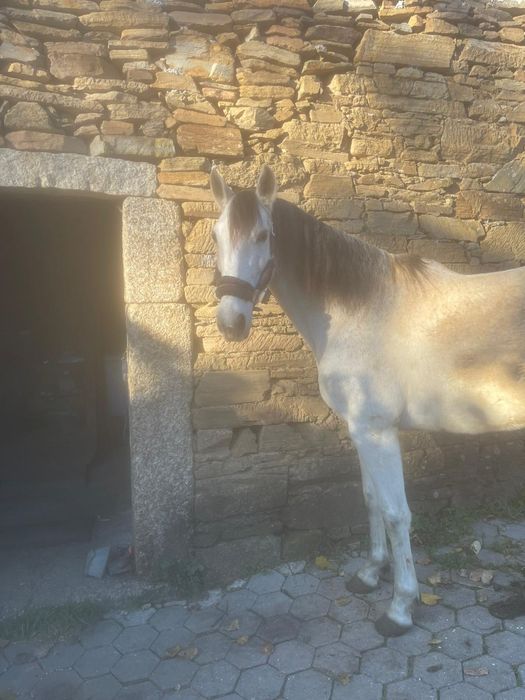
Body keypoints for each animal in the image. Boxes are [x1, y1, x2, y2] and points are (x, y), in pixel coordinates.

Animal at [208, 164, 525, 637]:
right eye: (216, 236)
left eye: (263, 236)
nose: (231, 323)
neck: (359, 312)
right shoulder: (360, 430)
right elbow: (371, 499)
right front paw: (371, 573)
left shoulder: (377, 433)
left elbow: (396, 513)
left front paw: (400, 608)